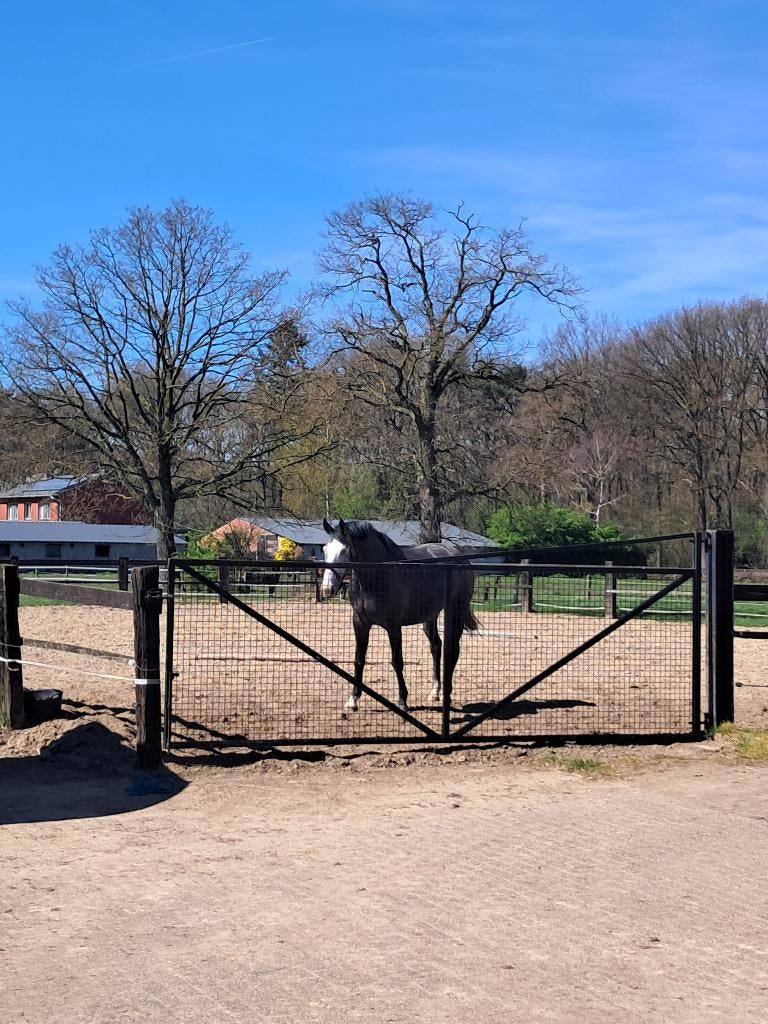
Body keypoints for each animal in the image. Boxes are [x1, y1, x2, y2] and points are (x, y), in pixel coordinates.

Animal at [320, 518, 479, 712]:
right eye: (325, 550)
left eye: (343, 551)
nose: (327, 590)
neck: (378, 577)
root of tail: (459, 557)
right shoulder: (360, 623)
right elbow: (359, 659)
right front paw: (352, 700)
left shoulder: (394, 626)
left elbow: (397, 662)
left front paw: (402, 701)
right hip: (430, 617)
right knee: (436, 646)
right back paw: (435, 692)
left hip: (455, 612)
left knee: (453, 650)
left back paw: (445, 694)